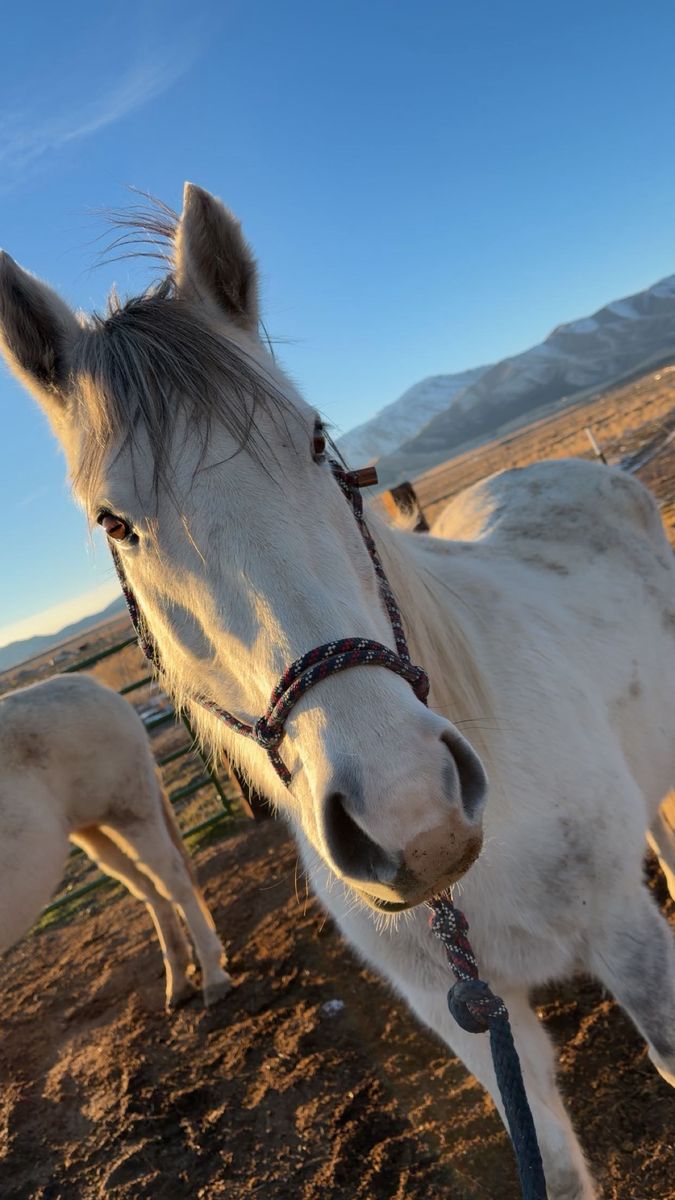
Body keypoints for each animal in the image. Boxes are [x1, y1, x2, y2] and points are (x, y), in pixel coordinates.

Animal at [0, 673, 232, 1010]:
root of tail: (93, 684)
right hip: (95, 831)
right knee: (151, 892)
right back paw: (178, 981)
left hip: (130, 814)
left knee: (173, 882)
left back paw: (213, 976)